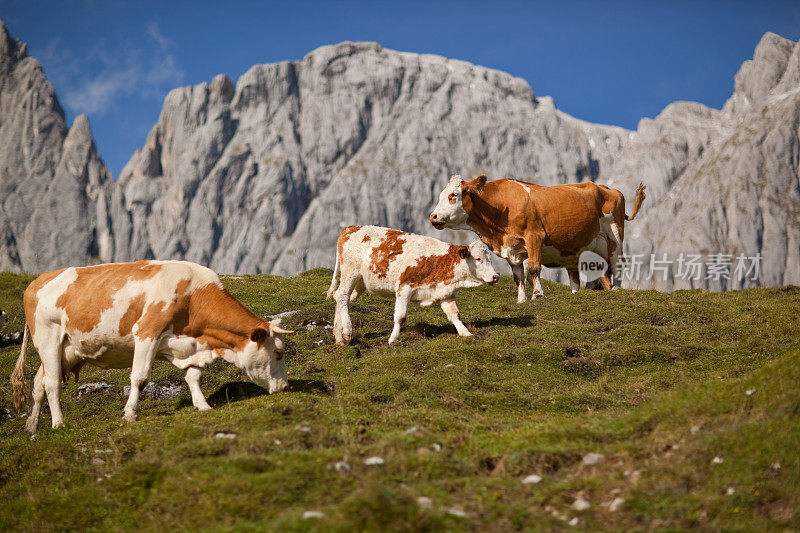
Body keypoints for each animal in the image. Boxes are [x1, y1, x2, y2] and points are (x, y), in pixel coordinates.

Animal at [10, 258, 294, 432]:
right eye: (278, 352)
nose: (284, 387)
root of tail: (39, 280)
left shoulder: (186, 345)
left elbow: (193, 376)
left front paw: (203, 405)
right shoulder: (147, 333)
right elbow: (139, 378)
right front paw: (130, 414)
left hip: (65, 350)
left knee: (38, 384)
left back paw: (32, 427)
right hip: (47, 338)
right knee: (52, 383)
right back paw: (58, 423)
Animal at [324, 224, 496, 344]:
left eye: (491, 258)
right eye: (478, 258)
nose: (495, 276)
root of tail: (350, 228)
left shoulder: (444, 292)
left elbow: (454, 314)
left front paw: (465, 332)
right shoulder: (403, 288)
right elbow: (400, 316)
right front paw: (393, 339)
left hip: (360, 282)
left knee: (341, 298)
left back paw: (338, 336)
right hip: (350, 272)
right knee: (342, 296)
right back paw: (347, 330)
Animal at [428, 175, 648, 300]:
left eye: (454, 195)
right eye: (439, 196)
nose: (433, 217)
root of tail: (608, 188)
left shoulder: (534, 236)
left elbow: (533, 268)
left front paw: (538, 294)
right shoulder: (512, 250)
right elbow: (518, 276)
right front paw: (521, 300)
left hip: (615, 237)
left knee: (616, 266)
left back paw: (616, 290)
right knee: (593, 275)